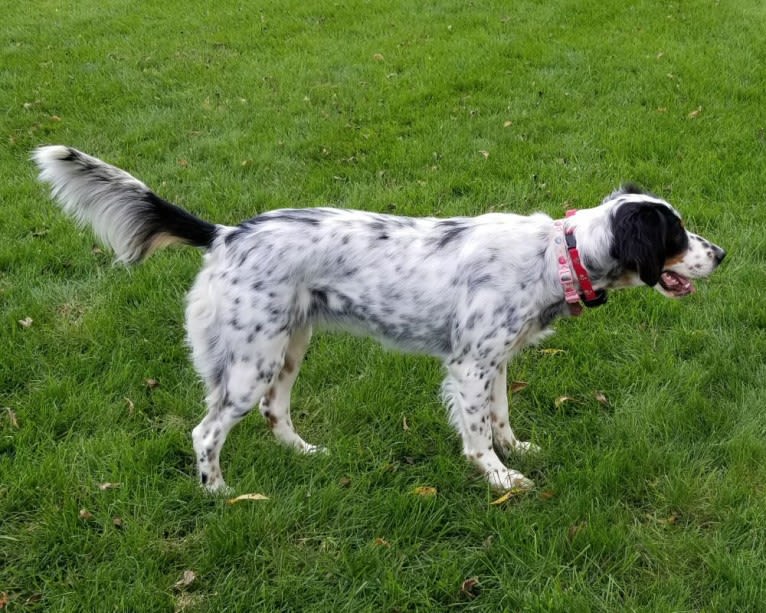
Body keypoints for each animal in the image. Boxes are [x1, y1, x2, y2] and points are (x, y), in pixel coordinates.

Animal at [31, 146, 728, 490]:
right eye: (676, 233)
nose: (722, 254)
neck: (557, 255)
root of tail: (226, 234)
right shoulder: (470, 366)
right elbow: (478, 433)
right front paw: (500, 478)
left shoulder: (497, 361)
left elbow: (501, 417)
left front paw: (516, 448)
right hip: (251, 363)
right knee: (205, 433)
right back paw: (218, 493)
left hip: (287, 350)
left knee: (275, 414)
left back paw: (306, 455)